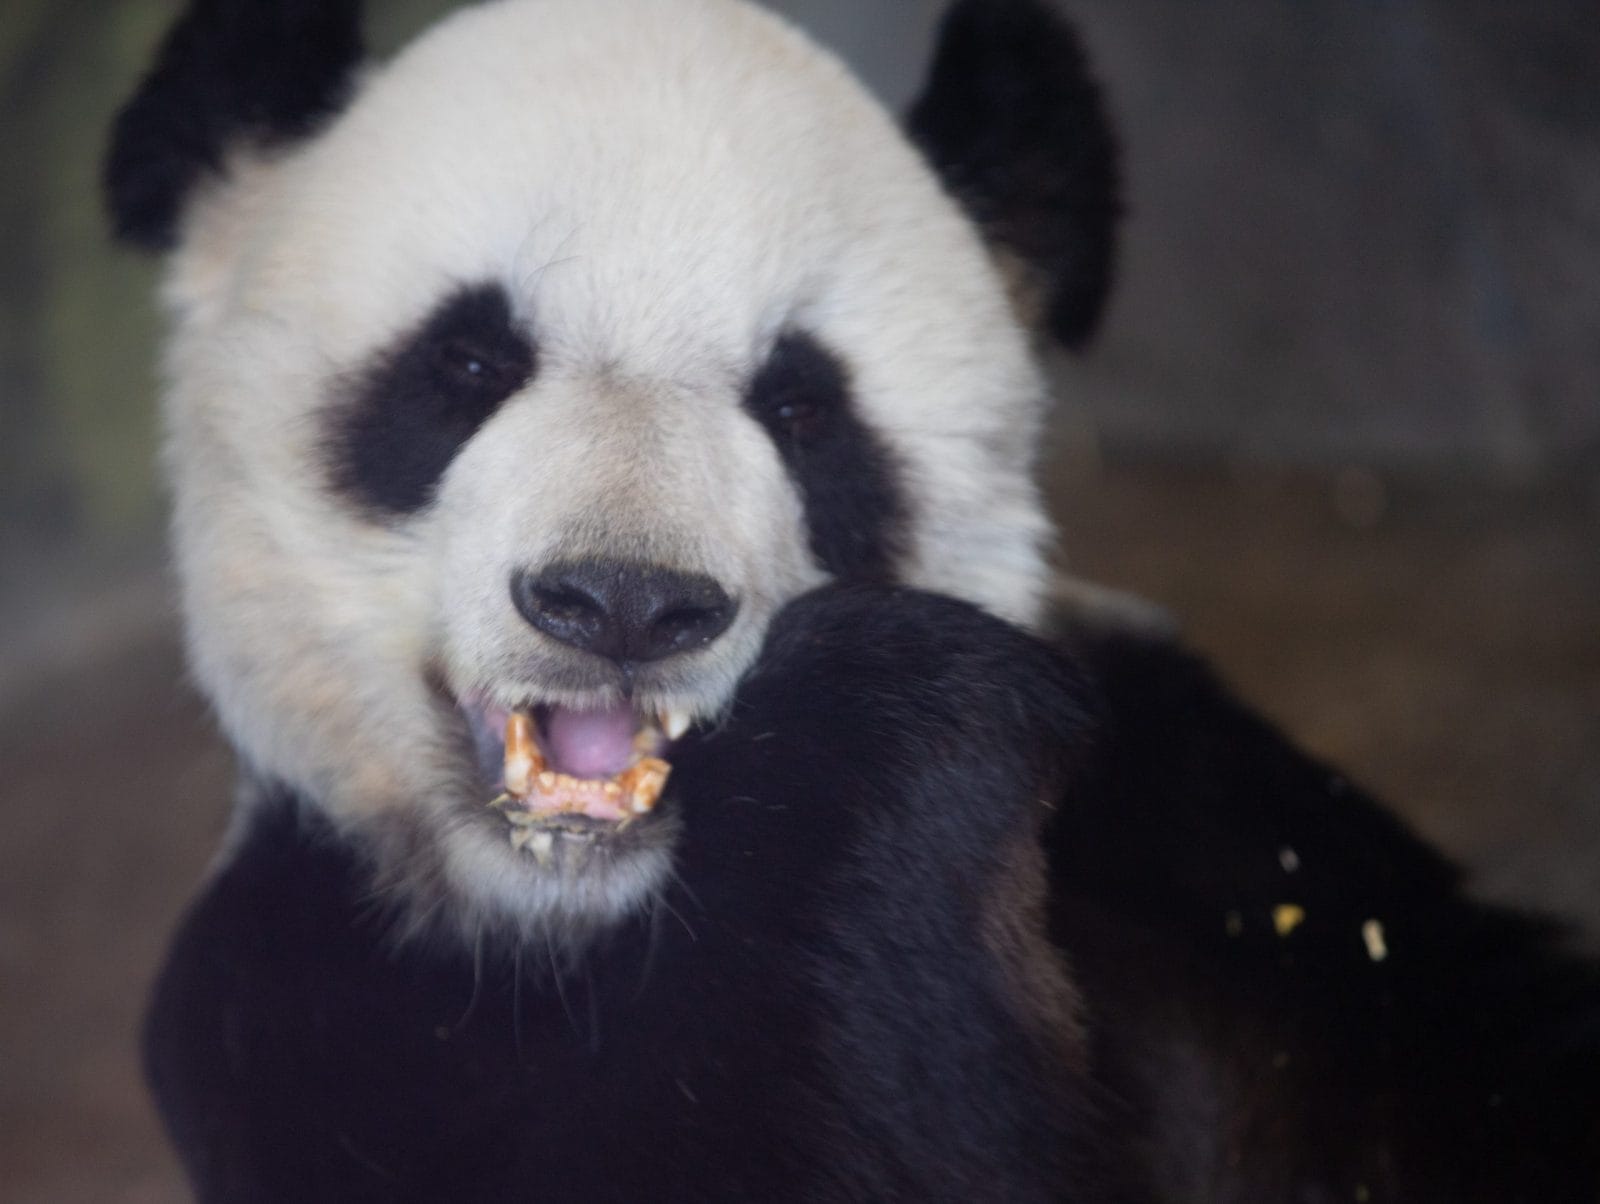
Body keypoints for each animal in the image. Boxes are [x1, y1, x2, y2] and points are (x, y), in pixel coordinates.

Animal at [105, 0, 1600, 1201]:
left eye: (802, 406)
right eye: (468, 363)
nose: (626, 602)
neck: (604, 914)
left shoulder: (1224, 827)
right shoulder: (306, 1003)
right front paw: (889, 704)